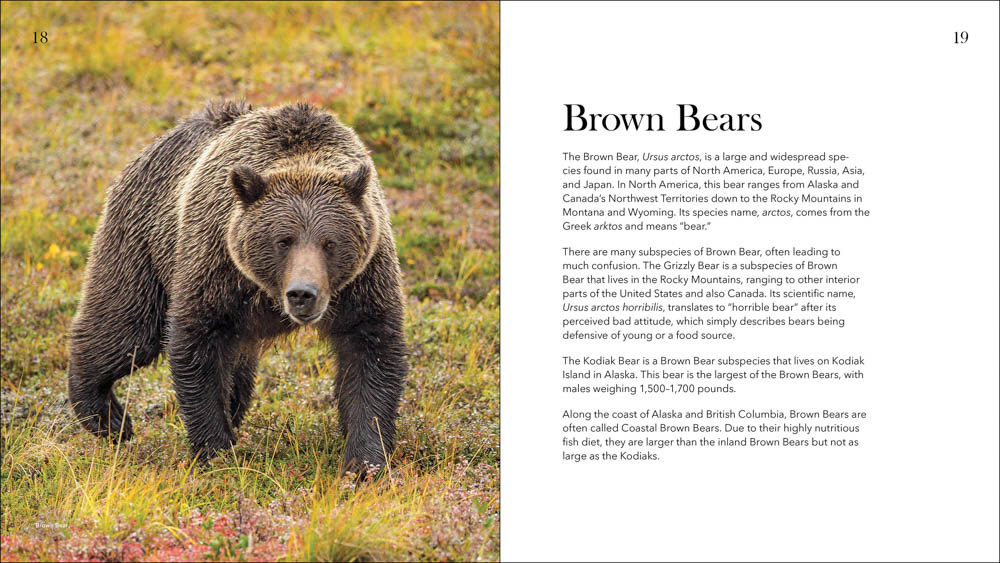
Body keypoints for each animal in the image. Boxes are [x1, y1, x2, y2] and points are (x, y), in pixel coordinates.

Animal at [67, 100, 408, 476]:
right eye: (283, 240)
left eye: (329, 242)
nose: (302, 293)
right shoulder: (216, 267)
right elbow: (197, 349)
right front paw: (216, 450)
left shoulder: (363, 282)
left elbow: (371, 356)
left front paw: (365, 462)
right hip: (142, 243)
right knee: (126, 328)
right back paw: (108, 419)